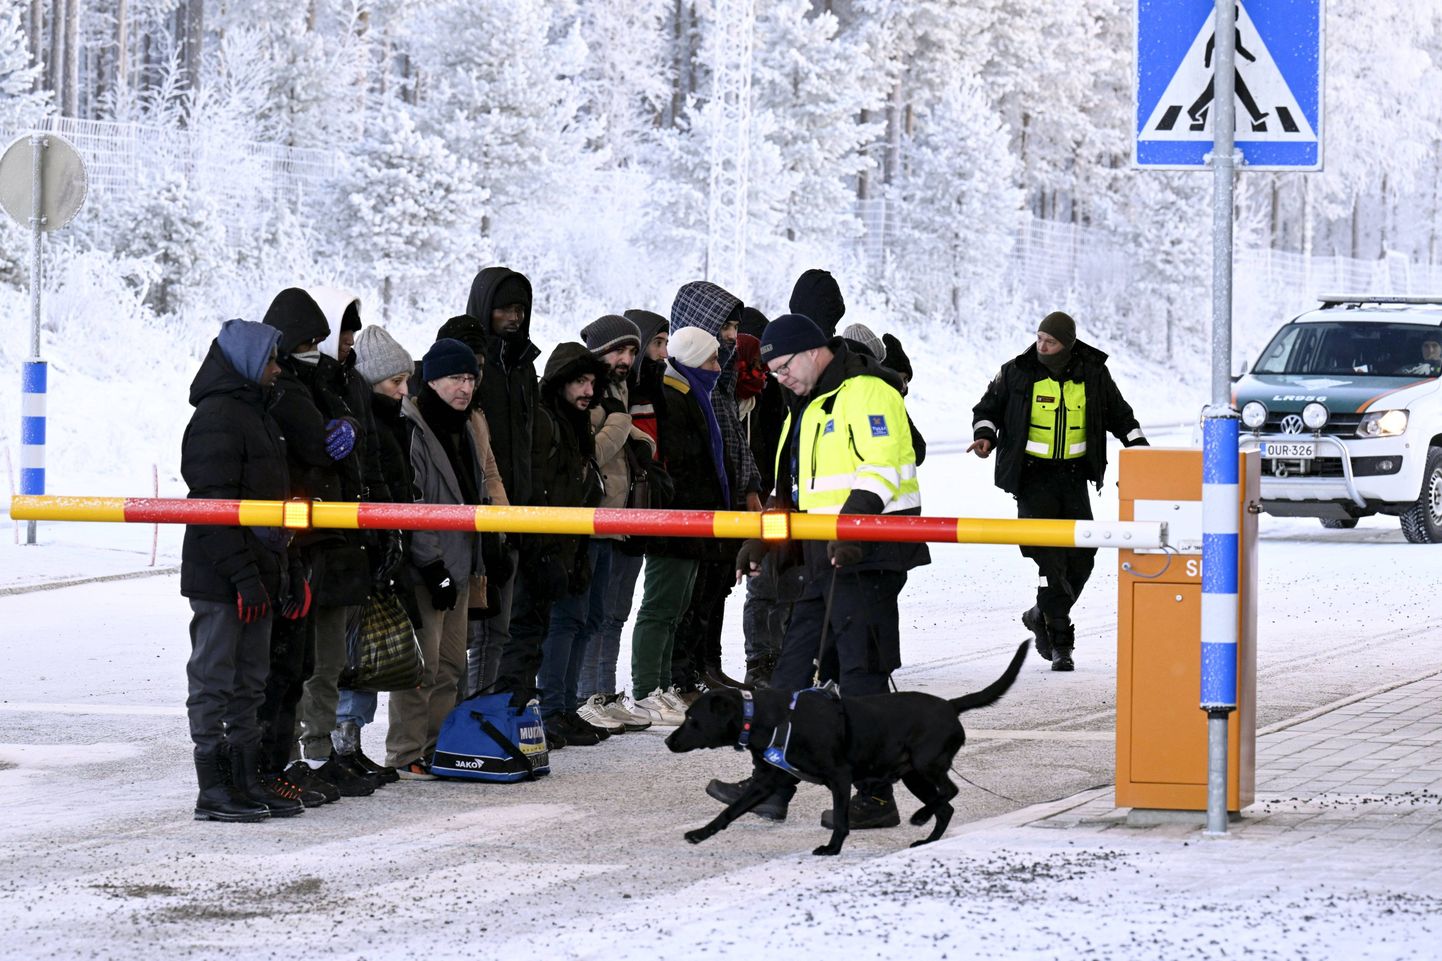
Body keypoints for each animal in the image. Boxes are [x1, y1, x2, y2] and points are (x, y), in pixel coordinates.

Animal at [663, 634, 1026, 854]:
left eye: (693, 720)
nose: (668, 740)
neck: (770, 717)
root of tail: (950, 705)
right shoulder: (768, 780)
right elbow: (731, 810)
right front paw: (701, 833)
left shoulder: (839, 777)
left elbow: (840, 818)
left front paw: (832, 848)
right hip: (913, 775)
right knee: (946, 805)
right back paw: (926, 837)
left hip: (926, 766)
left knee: (950, 793)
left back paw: (921, 819)